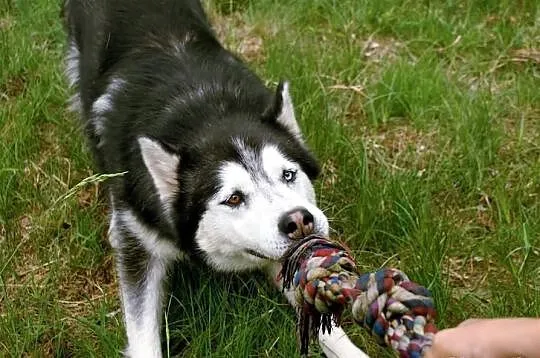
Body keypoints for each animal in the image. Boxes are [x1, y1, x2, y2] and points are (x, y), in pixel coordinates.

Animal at [62, 0, 368, 356]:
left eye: (288, 175)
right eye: (233, 198)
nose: (298, 220)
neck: (205, 112)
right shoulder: (140, 250)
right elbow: (142, 334)